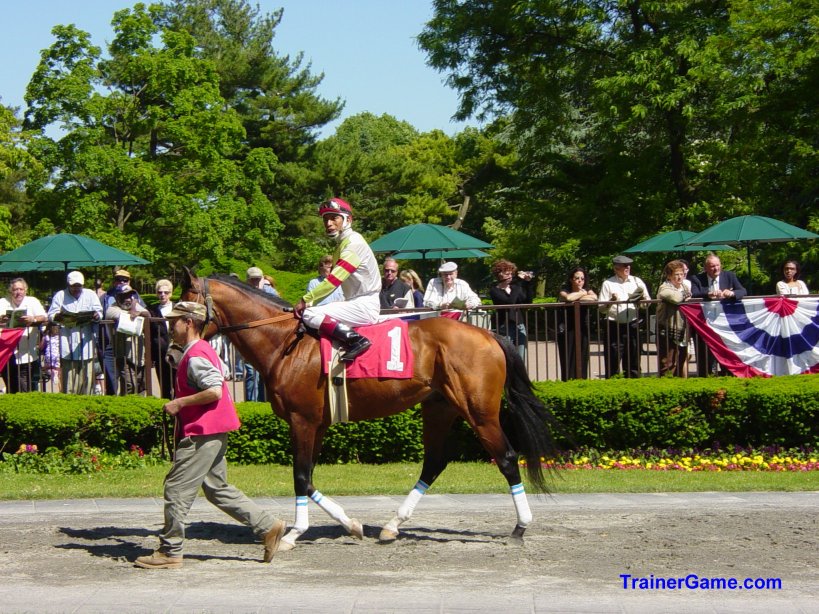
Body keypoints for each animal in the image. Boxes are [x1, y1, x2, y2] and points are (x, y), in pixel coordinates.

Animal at [182, 272, 560, 552]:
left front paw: (294, 534)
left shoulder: (302, 421)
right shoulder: (317, 424)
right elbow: (310, 478)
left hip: (479, 412)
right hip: (439, 408)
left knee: (507, 458)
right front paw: (351, 524)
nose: (176, 343)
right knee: (435, 461)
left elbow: (301, 477)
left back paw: (520, 526)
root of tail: (489, 335)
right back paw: (392, 526)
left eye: (185, 302)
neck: (285, 343)